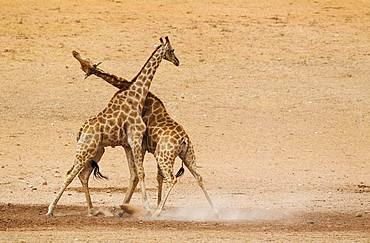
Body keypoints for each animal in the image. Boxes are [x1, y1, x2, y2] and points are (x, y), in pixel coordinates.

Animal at [46, 36, 179, 216]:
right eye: (172, 50)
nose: (178, 61)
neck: (137, 96)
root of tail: (81, 131)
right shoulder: (135, 139)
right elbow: (141, 173)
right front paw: (146, 207)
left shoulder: (129, 144)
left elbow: (136, 174)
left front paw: (129, 207)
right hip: (85, 150)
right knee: (70, 174)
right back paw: (51, 209)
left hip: (96, 151)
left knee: (83, 175)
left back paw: (92, 210)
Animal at [72, 49, 215, 216]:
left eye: (85, 65)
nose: (177, 61)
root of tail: (184, 139)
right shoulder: (142, 147)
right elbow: (154, 177)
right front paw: (127, 207)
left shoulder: (140, 145)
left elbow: (139, 174)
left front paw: (130, 207)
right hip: (186, 155)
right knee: (198, 177)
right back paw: (215, 210)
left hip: (164, 155)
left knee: (172, 179)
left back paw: (157, 212)